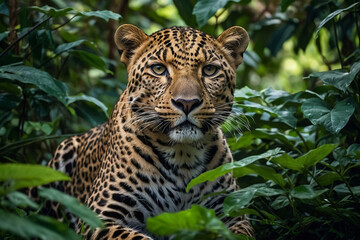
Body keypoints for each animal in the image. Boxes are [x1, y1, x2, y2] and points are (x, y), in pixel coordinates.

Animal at [45, 23, 252, 239]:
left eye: (210, 70)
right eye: (159, 69)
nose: (187, 103)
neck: (183, 157)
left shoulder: (233, 211)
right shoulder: (98, 217)